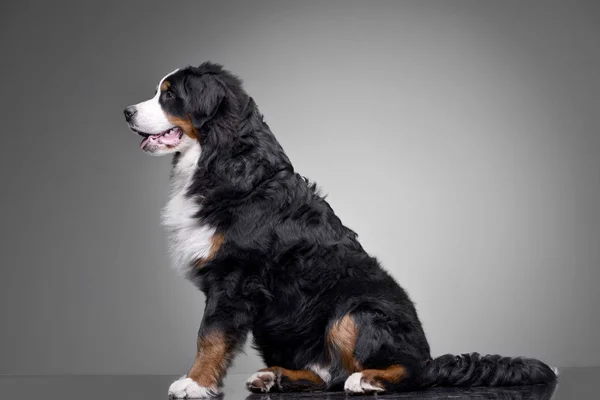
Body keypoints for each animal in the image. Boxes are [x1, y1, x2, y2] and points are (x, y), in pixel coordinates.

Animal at [122, 62, 556, 396]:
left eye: (169, 95)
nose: (126, 112)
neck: (225, 160)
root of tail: (430, 355)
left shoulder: (234, 276)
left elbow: (209, 337)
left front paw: (194, 383)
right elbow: (211, 336)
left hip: (355, 311)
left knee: (405, 372)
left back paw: (369, 380)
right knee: (326, 374)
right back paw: (275, 377)